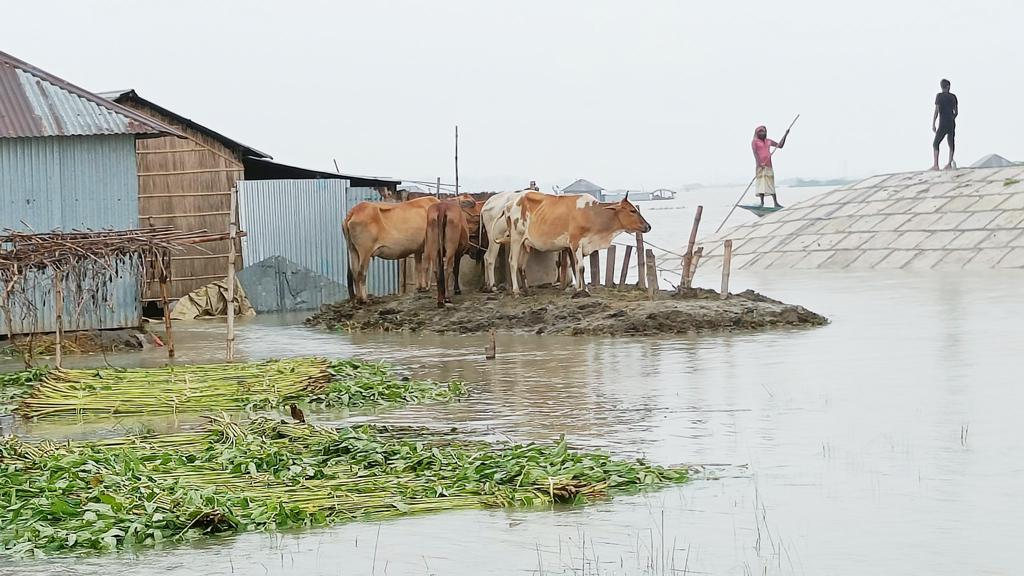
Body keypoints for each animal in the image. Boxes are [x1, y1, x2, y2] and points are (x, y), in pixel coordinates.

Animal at [509, 192, 651, 293]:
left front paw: (580, 288)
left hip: (526, 244)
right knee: (513, 262)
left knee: (521, 266)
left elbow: (576, 266)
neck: (592, 214)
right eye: (632, 210)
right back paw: (516, 291)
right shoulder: (575, 242)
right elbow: (581, 267)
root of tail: (514, 201)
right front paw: (583, 291)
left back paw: (526, 290)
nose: (648, 226)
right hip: (516, 238)